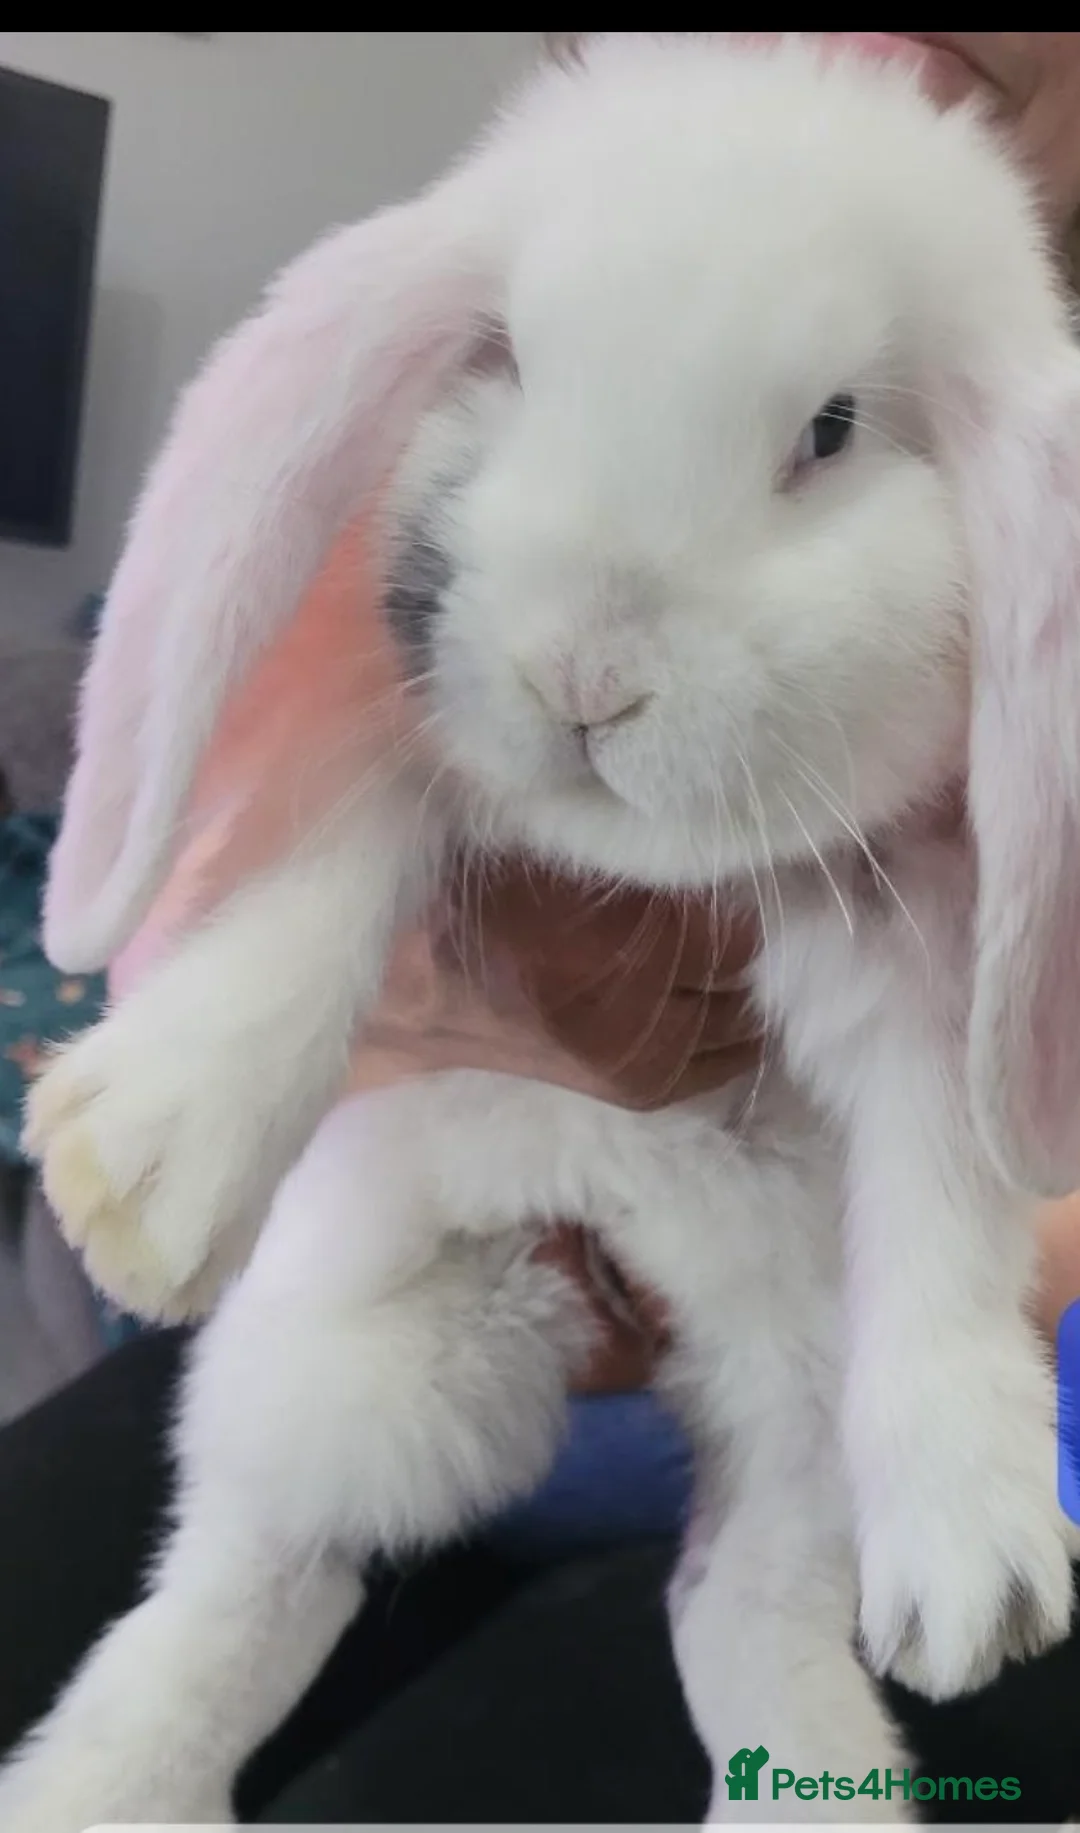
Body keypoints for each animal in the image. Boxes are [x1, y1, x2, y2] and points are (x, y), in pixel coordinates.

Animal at [3, 29, 1080, 1830]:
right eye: (504, 357)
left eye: (832, 428)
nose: (587, 671)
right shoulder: (401, 741)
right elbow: (344, 843)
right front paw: (144, 1168)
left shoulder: (921, 952)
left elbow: (947, 1188)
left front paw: (977, 1568)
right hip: (360, 1346)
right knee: (255, 1564)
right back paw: (99, 1784)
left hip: (781, 1398)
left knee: (742, 1591)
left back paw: (823, 1775)